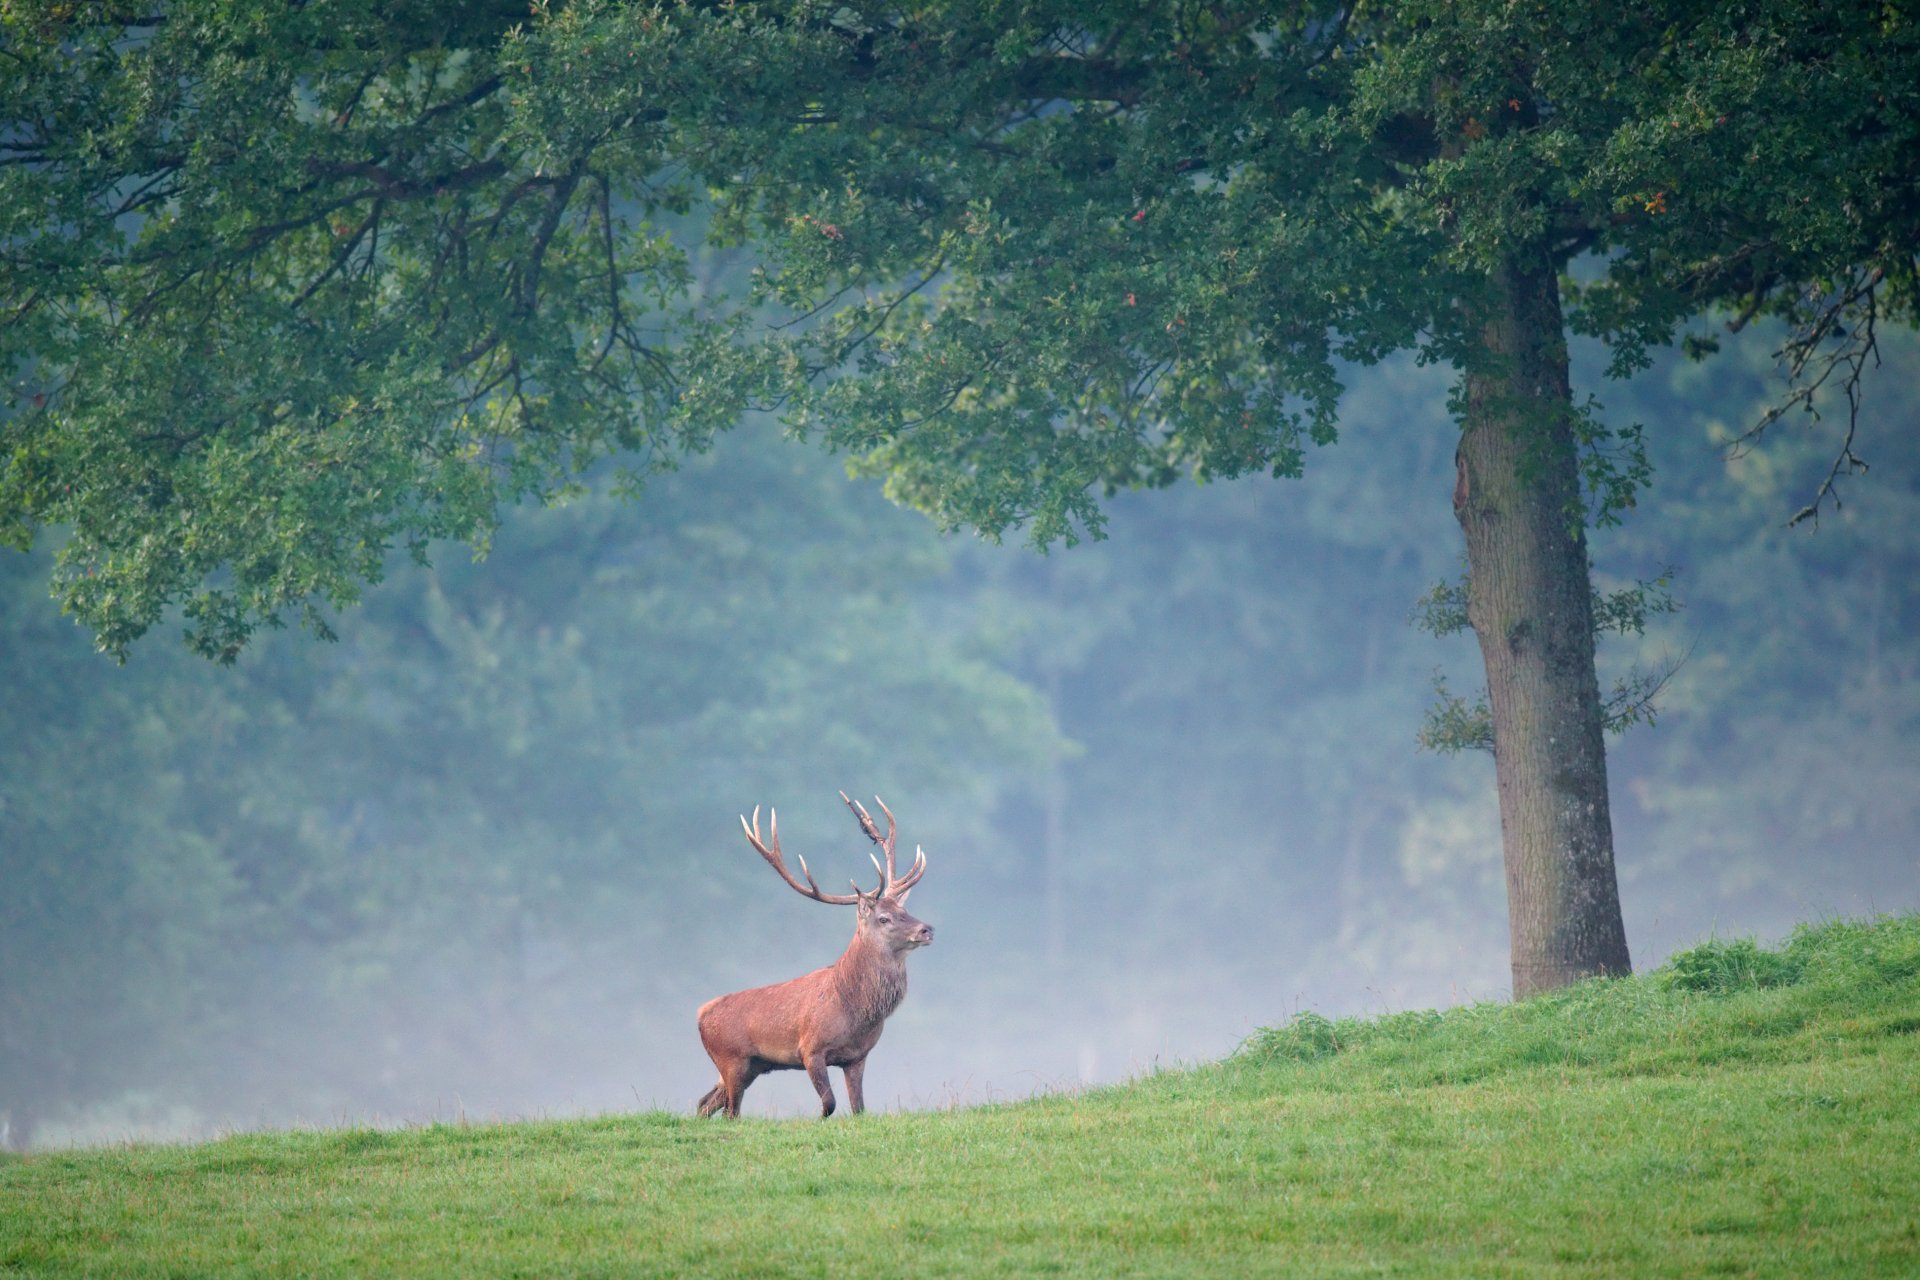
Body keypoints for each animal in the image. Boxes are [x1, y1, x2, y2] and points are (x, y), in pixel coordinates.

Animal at [695, 792, 933, 1119]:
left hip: (751, 1066)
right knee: (730, 1111)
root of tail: (700, 1014)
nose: (926, 929)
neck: (855, 1010)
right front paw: (817, 1119)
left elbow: (859, 1108)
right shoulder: (810, 1048)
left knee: (704, 1104)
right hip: (731, 1059)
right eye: (884, 918)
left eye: (904, 910)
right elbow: (829, 1103)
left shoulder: (857, 1056)